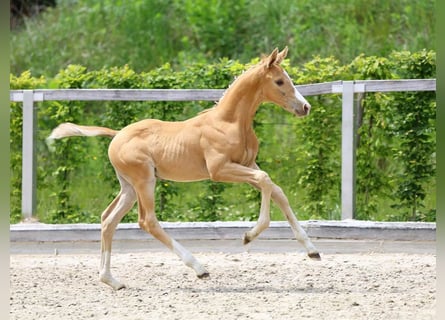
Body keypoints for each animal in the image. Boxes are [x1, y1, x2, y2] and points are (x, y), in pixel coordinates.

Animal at [47, 47, 320, 290]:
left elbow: (277, 190)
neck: (229, 122)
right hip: (145, 181)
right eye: (279, 81)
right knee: (147, 221)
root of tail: (117, 135)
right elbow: (265, 180)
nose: (305, 107)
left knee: (108, 219)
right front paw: (248, 236)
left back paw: (111, 280)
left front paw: (312, 251)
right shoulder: (220, 170)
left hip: (129, 187)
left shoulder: (246, 164)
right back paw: (199, 268)